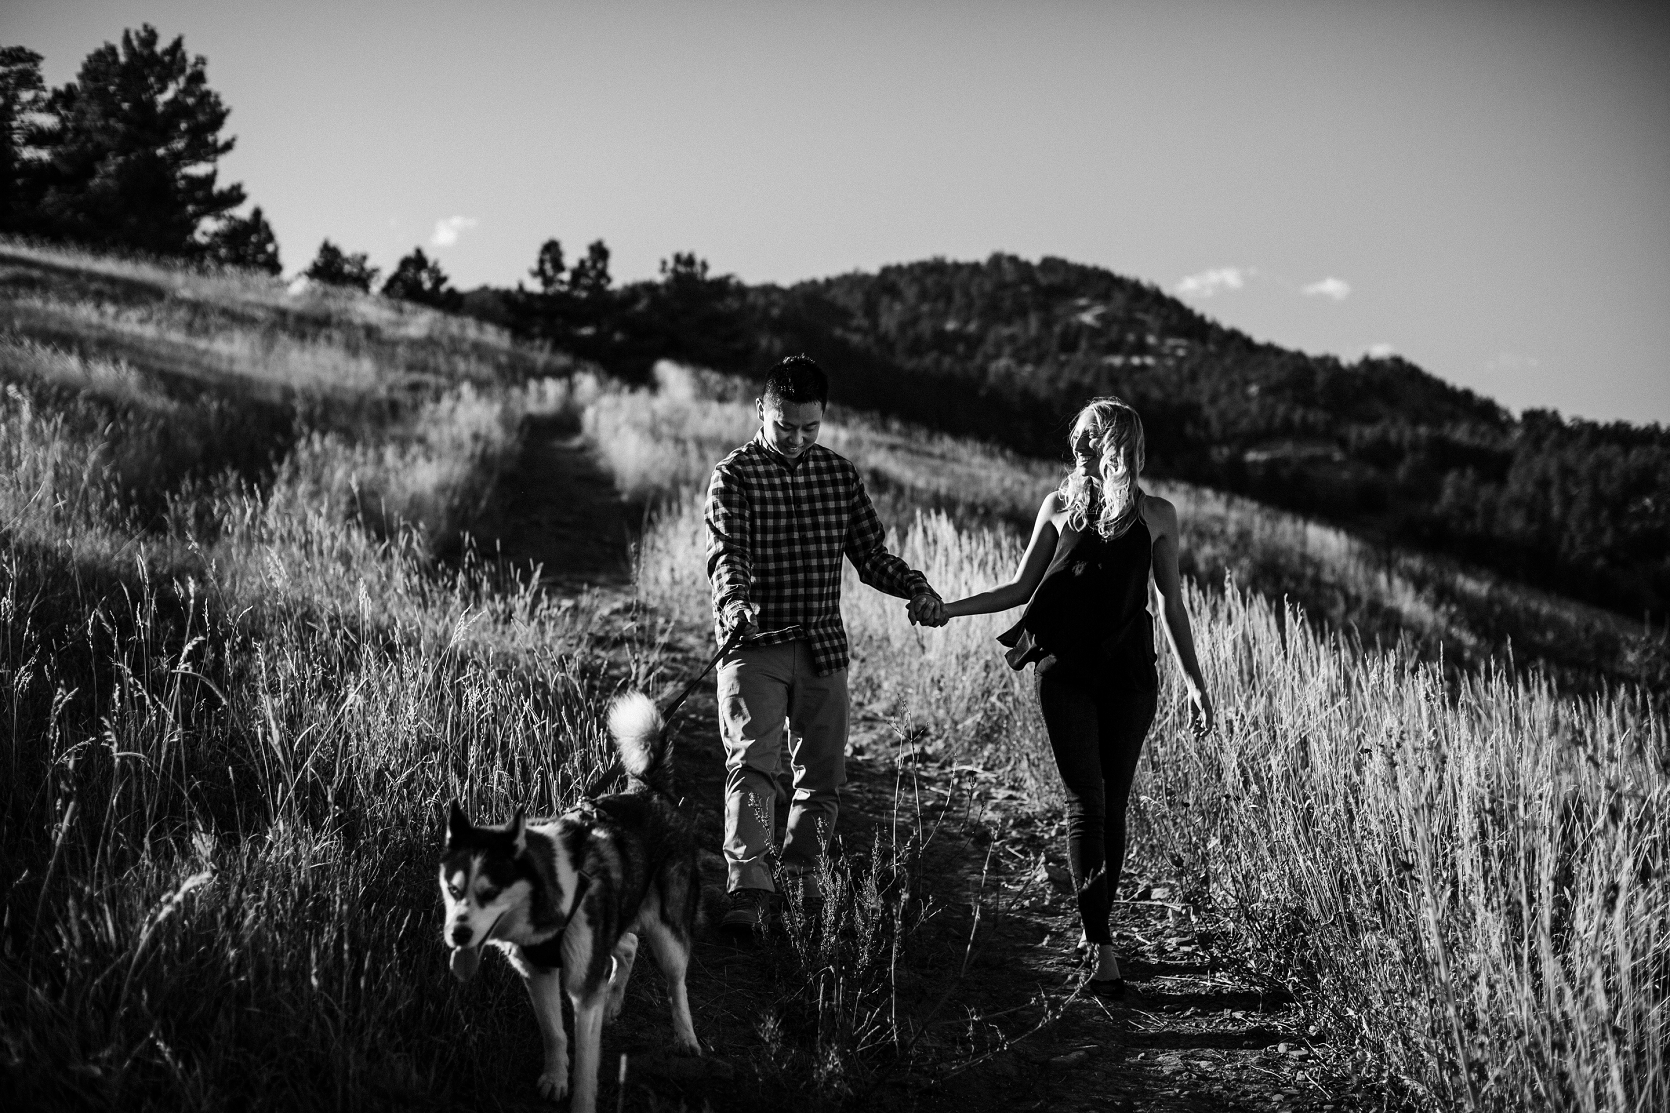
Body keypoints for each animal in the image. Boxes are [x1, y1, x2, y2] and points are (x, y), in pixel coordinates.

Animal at [440, 688, 701, 1102]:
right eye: (453, 889)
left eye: (491, 892)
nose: (457, 935)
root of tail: (648, 790)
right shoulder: (537, 972)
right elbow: (553, 1033)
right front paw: (554, 1079)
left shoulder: (582, 987)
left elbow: (586, 1062)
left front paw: (578, 1093)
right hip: (614, 925)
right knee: (627, 945)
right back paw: (613, 1003)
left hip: (668, 932)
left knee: (677, 982)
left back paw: (686, 1038)